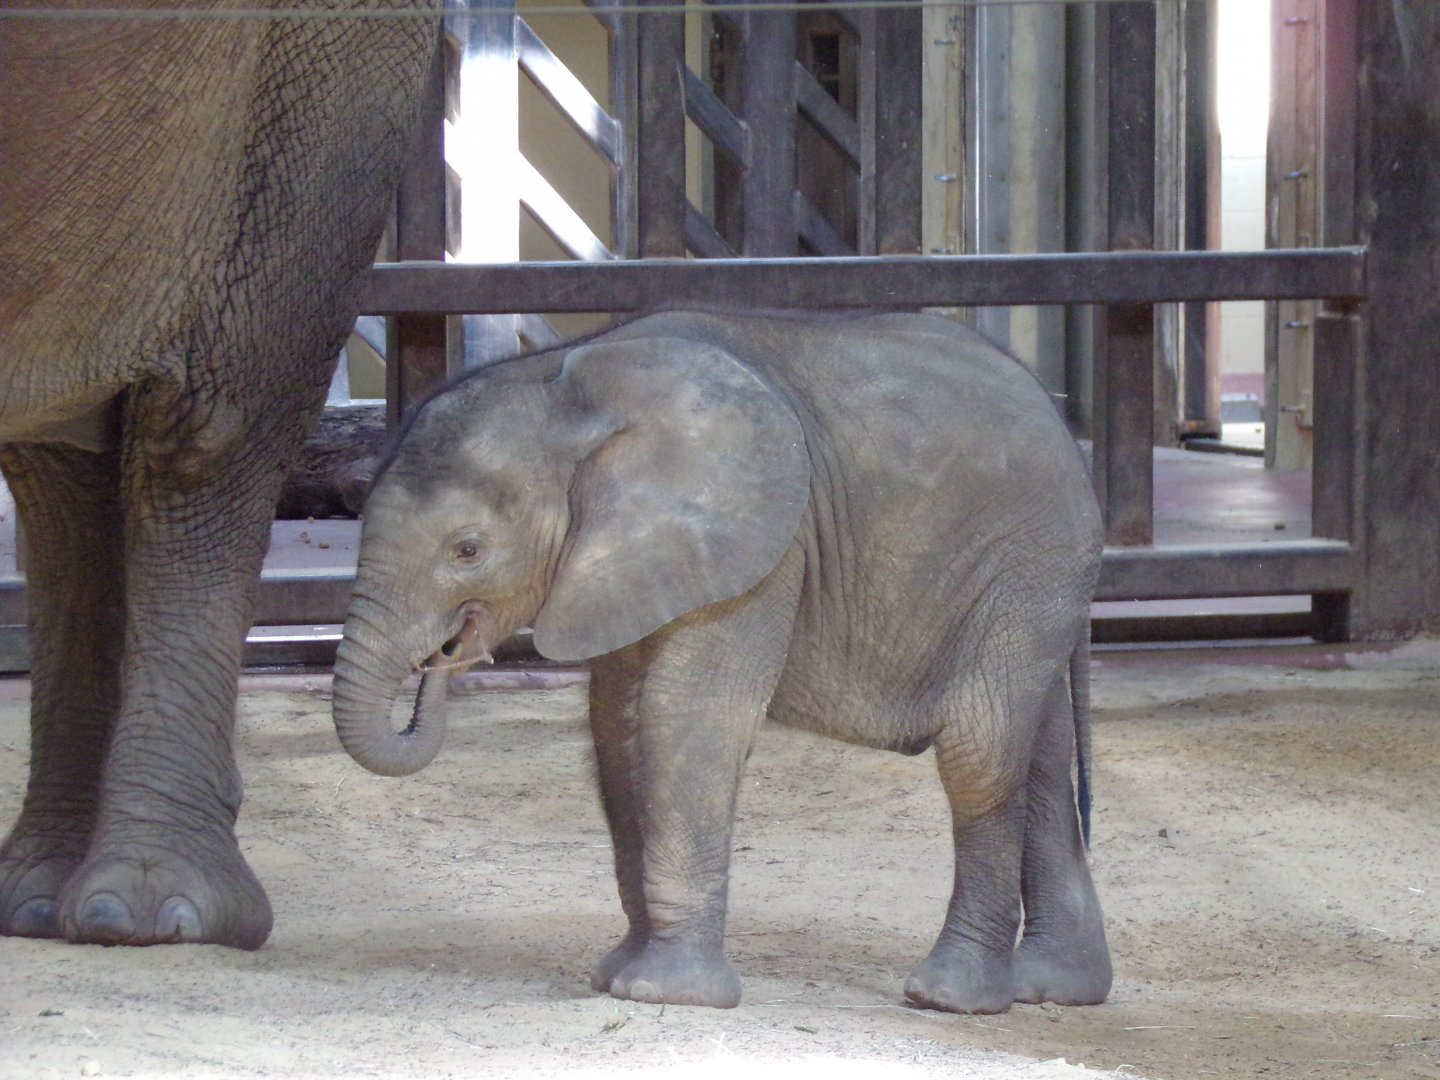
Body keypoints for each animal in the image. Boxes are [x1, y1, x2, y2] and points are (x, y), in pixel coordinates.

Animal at [331, 309, 1112, 1014]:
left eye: (467, 550)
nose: (445, 653)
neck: (575, 385)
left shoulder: (762, 548)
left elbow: (686, 713)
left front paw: (663, 994)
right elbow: (617, 727)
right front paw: (615, 974)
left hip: (1028, 561)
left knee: (981, 749)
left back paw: (949, 998)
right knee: (1041, 758)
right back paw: (1055, 989)